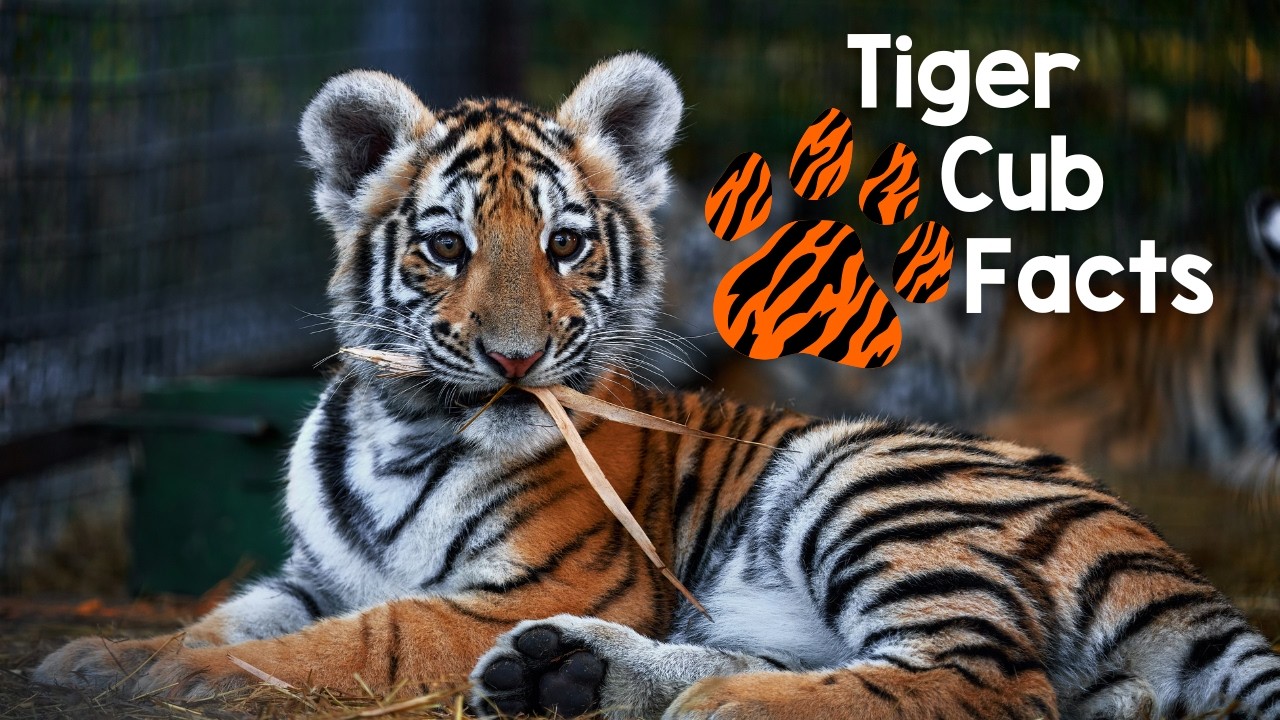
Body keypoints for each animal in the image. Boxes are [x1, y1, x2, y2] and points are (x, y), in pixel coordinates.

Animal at [34, 53, 1280, 720]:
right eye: (444, 247)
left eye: (566, 245)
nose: (515, 358)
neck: (403, 429)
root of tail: (1171, 563)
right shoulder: (309, 576)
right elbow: (225, 615)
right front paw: (100, 659)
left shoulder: (518, 584)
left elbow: (354, 641)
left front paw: (185, 676)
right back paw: (568, 675)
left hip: (870, 483)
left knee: (989, 683)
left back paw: (711, 702)